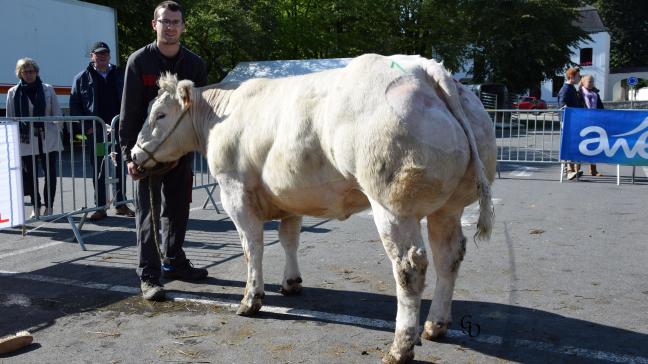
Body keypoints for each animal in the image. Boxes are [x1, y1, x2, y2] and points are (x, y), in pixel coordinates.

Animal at [132, 54, 496, 364]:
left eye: (160, 115)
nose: (133, 156)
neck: (220, 115)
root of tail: (424, 69)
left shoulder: (234, 192)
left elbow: (253, 248)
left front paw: (251, 299)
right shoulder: (289, 194)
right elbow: (289, 238)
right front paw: (291, 283)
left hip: (392, 204)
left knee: (409, 266)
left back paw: (400, 347)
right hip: (448, 206)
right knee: (449, 255)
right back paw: (436, 325)